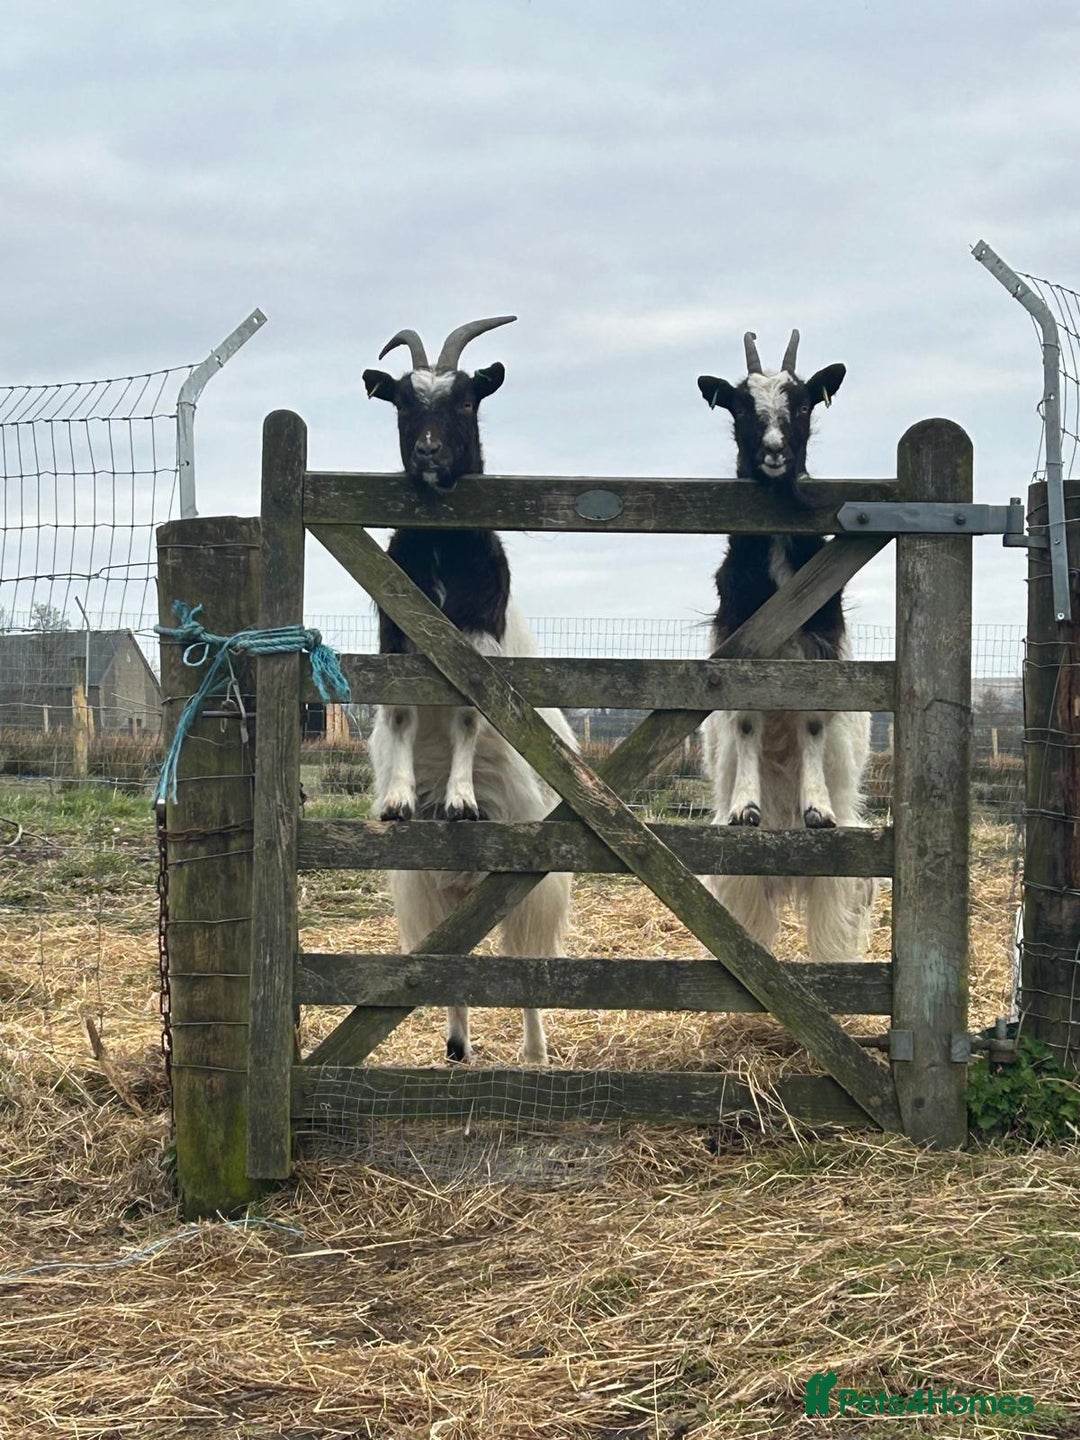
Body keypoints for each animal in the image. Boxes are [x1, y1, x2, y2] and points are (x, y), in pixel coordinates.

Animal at [362, 316, 575, 1064]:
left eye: (465, 399)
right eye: (401, 400)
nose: (427, 453)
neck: (443, 554)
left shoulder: (477, 648)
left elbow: (465, 720)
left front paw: (457, 800)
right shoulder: (397, 640)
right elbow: (401, 715)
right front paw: (400, 800)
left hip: (530, 889)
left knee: (528, 971)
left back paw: (535, 1054)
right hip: (432, 893)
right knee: (450, 965)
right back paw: (457, 1047)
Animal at [696, 329, 873, 960]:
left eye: (802, 404)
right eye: (741, 407)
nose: (774, 453)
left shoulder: (819, 652)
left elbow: (813, 724)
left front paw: (816, 808)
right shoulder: (741, 650)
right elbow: (748, 722)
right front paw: (746, 806)